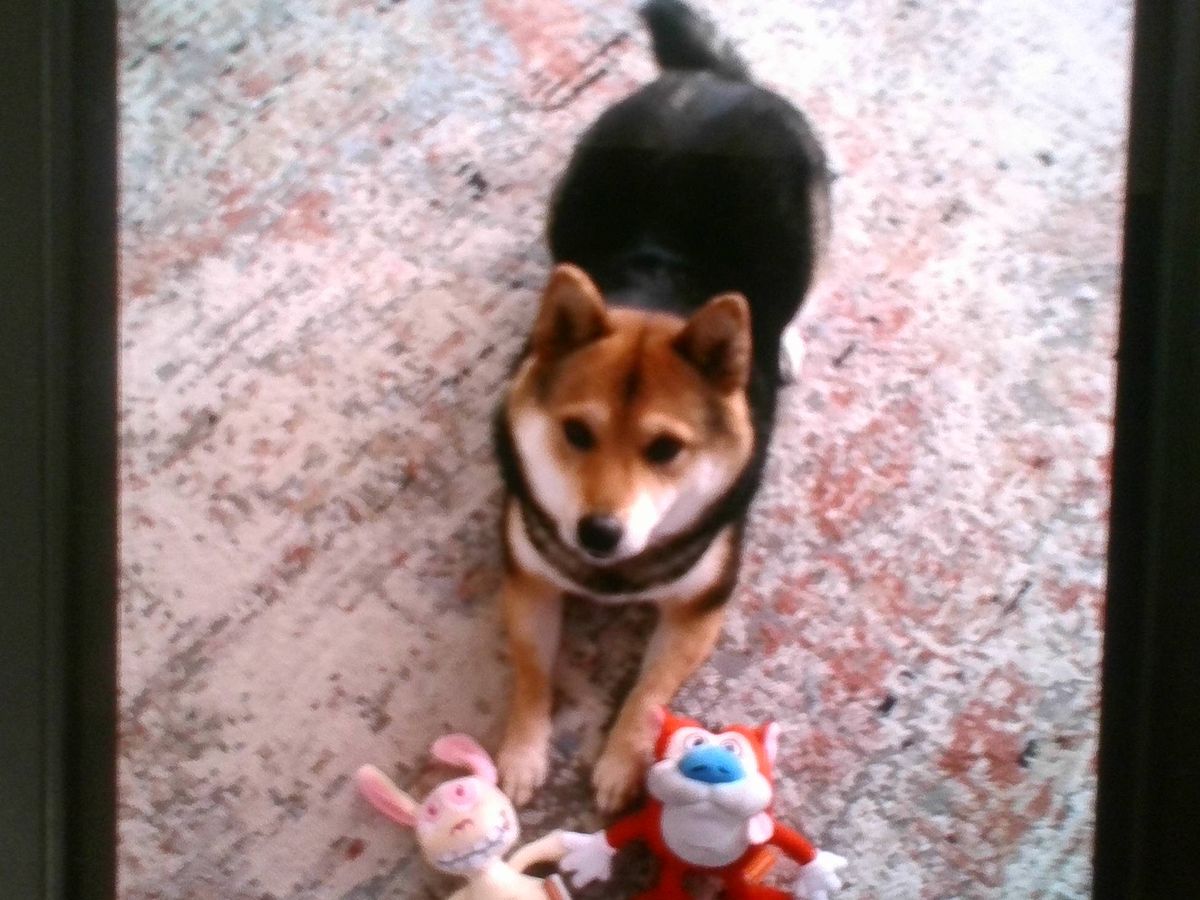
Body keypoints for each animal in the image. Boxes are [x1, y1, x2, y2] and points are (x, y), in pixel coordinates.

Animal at [493, 0, 832, 813]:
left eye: (666, 449)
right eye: (576, 433)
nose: (599, 532)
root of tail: (708, 81)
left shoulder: (699, 607)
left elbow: (649, 692)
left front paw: (623, 761)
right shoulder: (527, 577)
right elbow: (530, 670)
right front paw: (521, 752)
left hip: (815, 222)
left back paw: (785, 341)